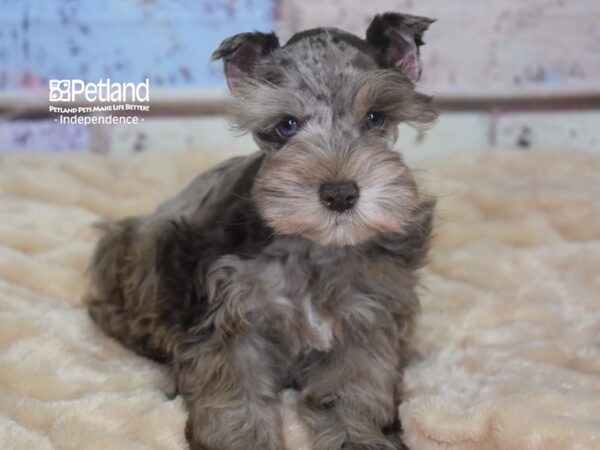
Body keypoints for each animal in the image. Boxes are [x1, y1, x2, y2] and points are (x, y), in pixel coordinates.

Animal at [85, 11, 436, 450]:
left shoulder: (366, 318)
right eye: (286, 126)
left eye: (375, 118)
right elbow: (237, 397)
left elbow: (356, 390)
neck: (314, 245)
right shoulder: (229, 319)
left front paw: (359, 436)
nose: (340, 194)